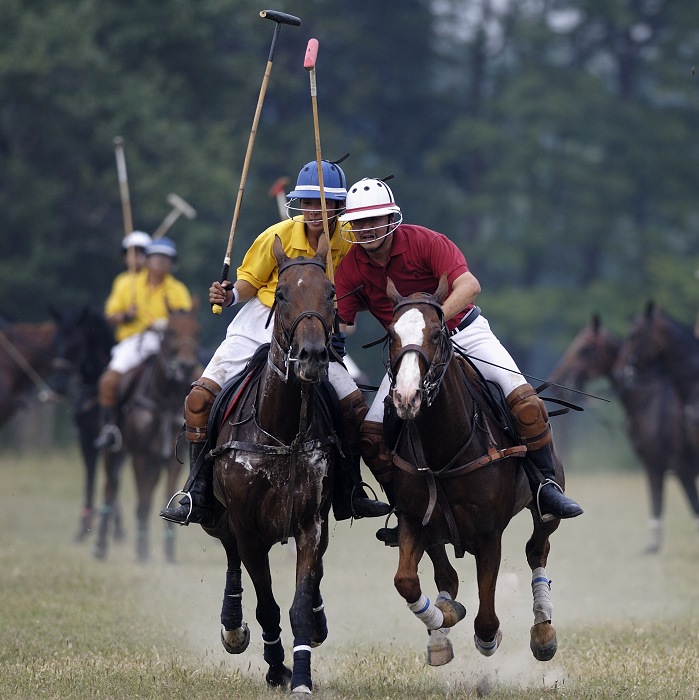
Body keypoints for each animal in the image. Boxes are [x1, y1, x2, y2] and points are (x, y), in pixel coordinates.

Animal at [49, 306, 120, 540]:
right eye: (55, 341)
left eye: (76, 345)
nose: (59, 386)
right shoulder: (86, 438)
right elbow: (90, 476)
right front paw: (84, 527)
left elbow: (112, 480)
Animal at [95, 312, 200, 564]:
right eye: (171, 331)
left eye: (198, 331)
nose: (186, 365)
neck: (164, 397)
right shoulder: (140, 455)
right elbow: (142, 504)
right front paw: (142, 552)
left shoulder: (172, 460)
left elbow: (166, 496)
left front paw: (169, 552)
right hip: (114, 451)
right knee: (110, 488)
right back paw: (100, 545)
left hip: (153, 462)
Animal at [198, 238, 340, 696]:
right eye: (280, 295)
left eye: (331, 294)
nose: (312, 356)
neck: (280, 432)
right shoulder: (248, 526)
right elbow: (267, 606)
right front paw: (277, 669)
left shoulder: (311, 522)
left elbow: (298, 603)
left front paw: (301, 675)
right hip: (217, 515)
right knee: (229, 554)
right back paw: (231, 625)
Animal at [382, 274, 564, 668]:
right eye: (391, 333)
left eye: (437, 334)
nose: (406, 396)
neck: (443, 452)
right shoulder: (413, 520)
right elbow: (407, 580)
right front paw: (444, 619)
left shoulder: (488, 533)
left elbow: (486, 619)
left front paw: (487, 638)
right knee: (445, 574)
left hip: (547, 507)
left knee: (537, 549)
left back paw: (543, 631)